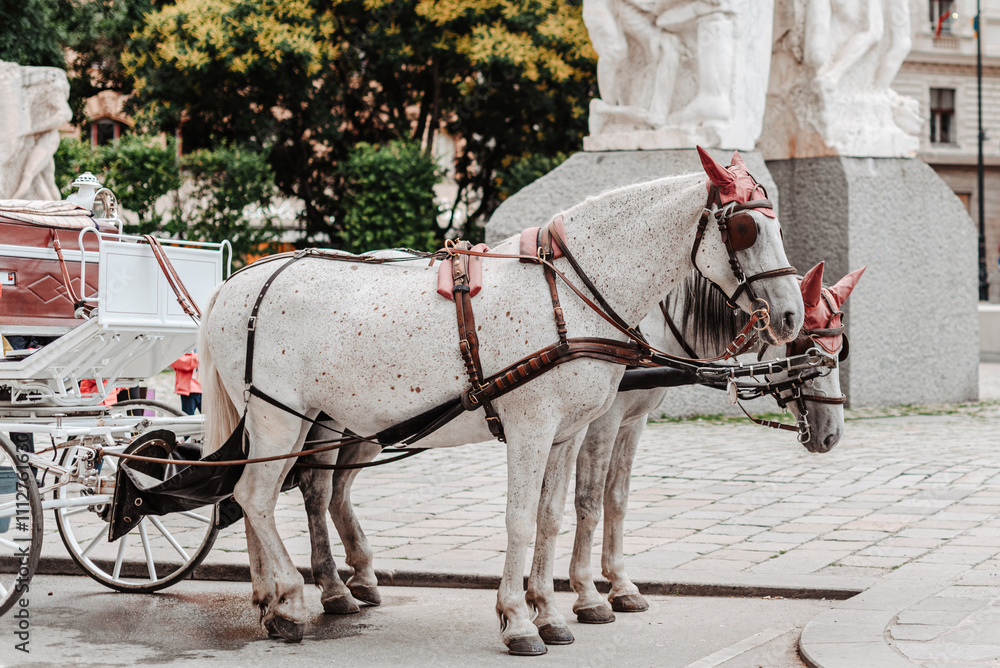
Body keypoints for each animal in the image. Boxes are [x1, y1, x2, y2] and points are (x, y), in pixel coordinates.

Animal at [199, 148, 804, 653]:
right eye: (746, 228)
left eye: (777, 224)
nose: (791, 315)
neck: (571, 294)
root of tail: (237, 281)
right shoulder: (532, 427)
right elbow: (520, 519)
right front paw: (517, 618)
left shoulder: (569, 432)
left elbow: (553, 516)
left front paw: (551, 611)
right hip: (278, 415)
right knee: (256, 495)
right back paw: (290, 602)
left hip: (311, 421)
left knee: (274, 494)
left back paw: (274, 599)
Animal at [563, 261, 865, 625]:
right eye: (810, 352)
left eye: (840, 350)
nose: (832, 433)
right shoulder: (601, 421)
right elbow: (588, 501)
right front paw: (586, 594)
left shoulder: (631, 422)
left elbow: (617, 499)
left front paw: (622, 586)